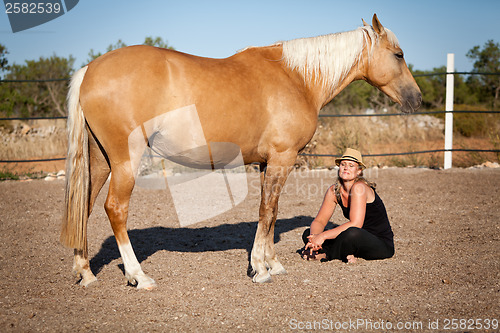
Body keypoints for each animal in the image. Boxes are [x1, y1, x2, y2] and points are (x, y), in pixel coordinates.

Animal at [62, 14, 422, 286]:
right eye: (399, 54)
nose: (416, 98)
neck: (296, 78)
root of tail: (90, 70)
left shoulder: (267, 163)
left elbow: (270, 212)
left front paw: (271, 264)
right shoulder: (282, 158)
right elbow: (267, 211)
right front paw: (261, 270)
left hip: (100, 160)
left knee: (86, 206)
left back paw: (86, 273)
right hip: (125, 160)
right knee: (115, 209)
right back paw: (139, 276)